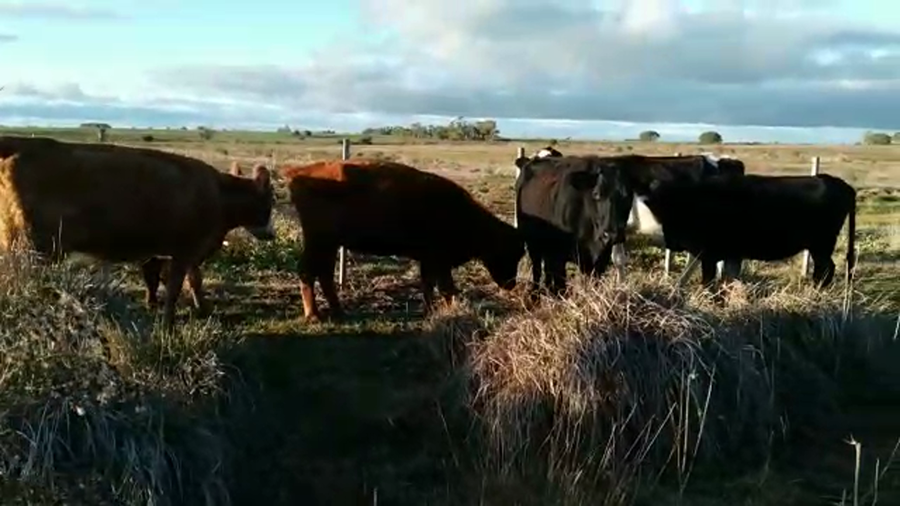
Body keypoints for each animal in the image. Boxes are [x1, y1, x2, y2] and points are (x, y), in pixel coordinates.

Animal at [0, 136, 276, 332]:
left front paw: (171, 306)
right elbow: (178, 286)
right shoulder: (185, 250)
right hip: (30, 247)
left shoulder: (162, 252)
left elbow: (167, 280)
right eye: (270, 201)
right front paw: (169, 323)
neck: (218, 194)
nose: (272, 234)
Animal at [280, 158, 525, 322]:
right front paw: (452, 310)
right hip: (320, 242)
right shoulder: (439, 260)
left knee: (323, 274)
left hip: (329, 245)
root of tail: (298, 172)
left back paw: (339, 312)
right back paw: (313, 316)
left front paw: (431, 311)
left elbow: (428, 285)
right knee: (308, 271)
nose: (510, 284)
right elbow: (446, 288)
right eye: (508, 252)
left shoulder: (429, 261)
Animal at [514, 153, 635, 296]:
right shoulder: (559, 255)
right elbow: (560, 286)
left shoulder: (600, 258)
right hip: (533, 242)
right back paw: (535, 294)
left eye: (627, 197)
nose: (613, 235)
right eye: (596, 194)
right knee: (537, 268)